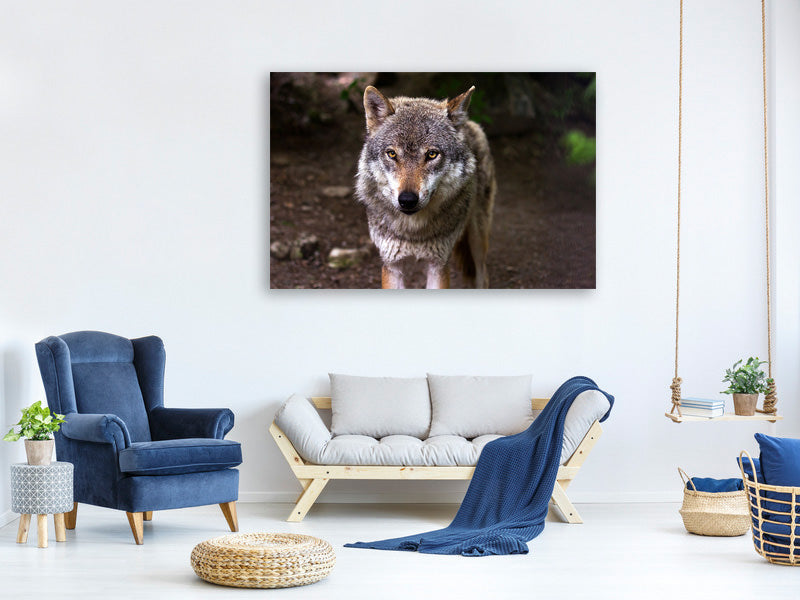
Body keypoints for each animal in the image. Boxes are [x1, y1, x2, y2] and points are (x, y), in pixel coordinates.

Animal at [355, 85, 496, 289]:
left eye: (431, 154)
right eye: (391, 154)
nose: (407, 200)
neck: (413, 232)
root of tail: (468, 123)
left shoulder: (438, 265)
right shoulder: (392, 265)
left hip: (477, 240)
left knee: (483, 276)